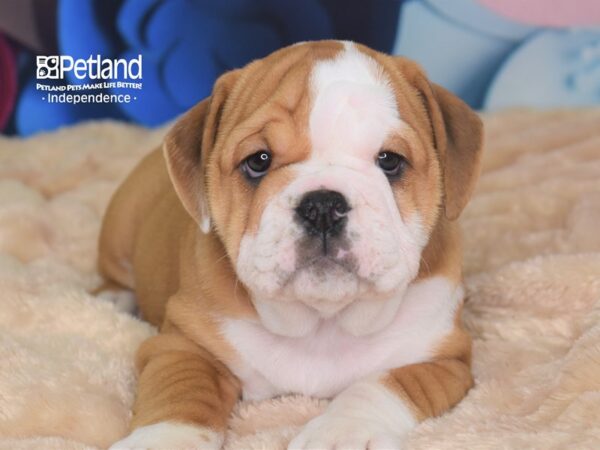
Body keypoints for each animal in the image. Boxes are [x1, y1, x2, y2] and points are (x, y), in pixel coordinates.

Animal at [102, 40, 482, 448]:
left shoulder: (441, 361)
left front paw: (342, 429)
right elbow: (182, 391)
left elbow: (384, 385)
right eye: (258, 161)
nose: (323, 207)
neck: (322, 323)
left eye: (390, 160)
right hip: (121, 223)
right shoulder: (182, 344)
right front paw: (166, 438)